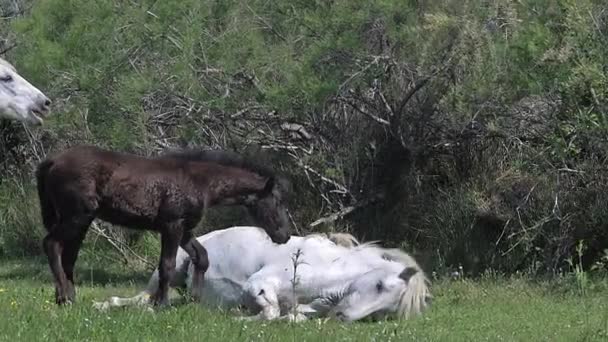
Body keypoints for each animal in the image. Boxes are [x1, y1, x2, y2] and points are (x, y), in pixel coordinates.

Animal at [92, 226, 430, 322]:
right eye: (379, 285)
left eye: (386, 312)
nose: (344, 318)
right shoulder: (259, 285)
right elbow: (269, 312)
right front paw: (241, 318)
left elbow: (290, 316)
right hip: (169, 270)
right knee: (142, 298)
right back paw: (106, 304)